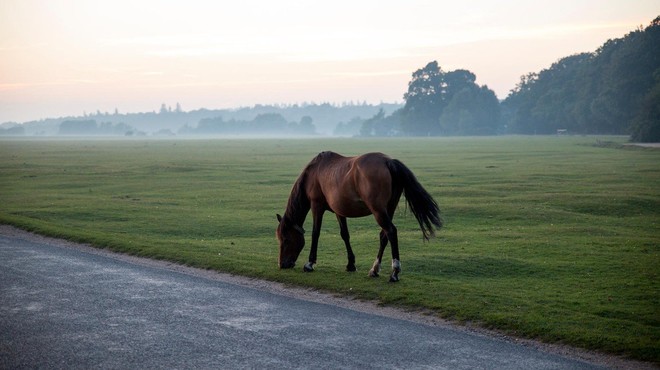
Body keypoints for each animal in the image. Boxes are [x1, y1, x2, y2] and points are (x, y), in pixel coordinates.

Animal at [276, 152, 440, 282]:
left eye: (286, 239)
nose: (282, 264)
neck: (314, 173)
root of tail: (388, 162)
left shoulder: (317, 206)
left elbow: (316, 233)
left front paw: (310, 264)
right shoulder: (339, 211)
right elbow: (345, 235)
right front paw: (351, 264)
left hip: (378, 210)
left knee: (391, 231)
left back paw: (394, 272)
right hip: (389, 208)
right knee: (384, 235)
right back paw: (374, 269)